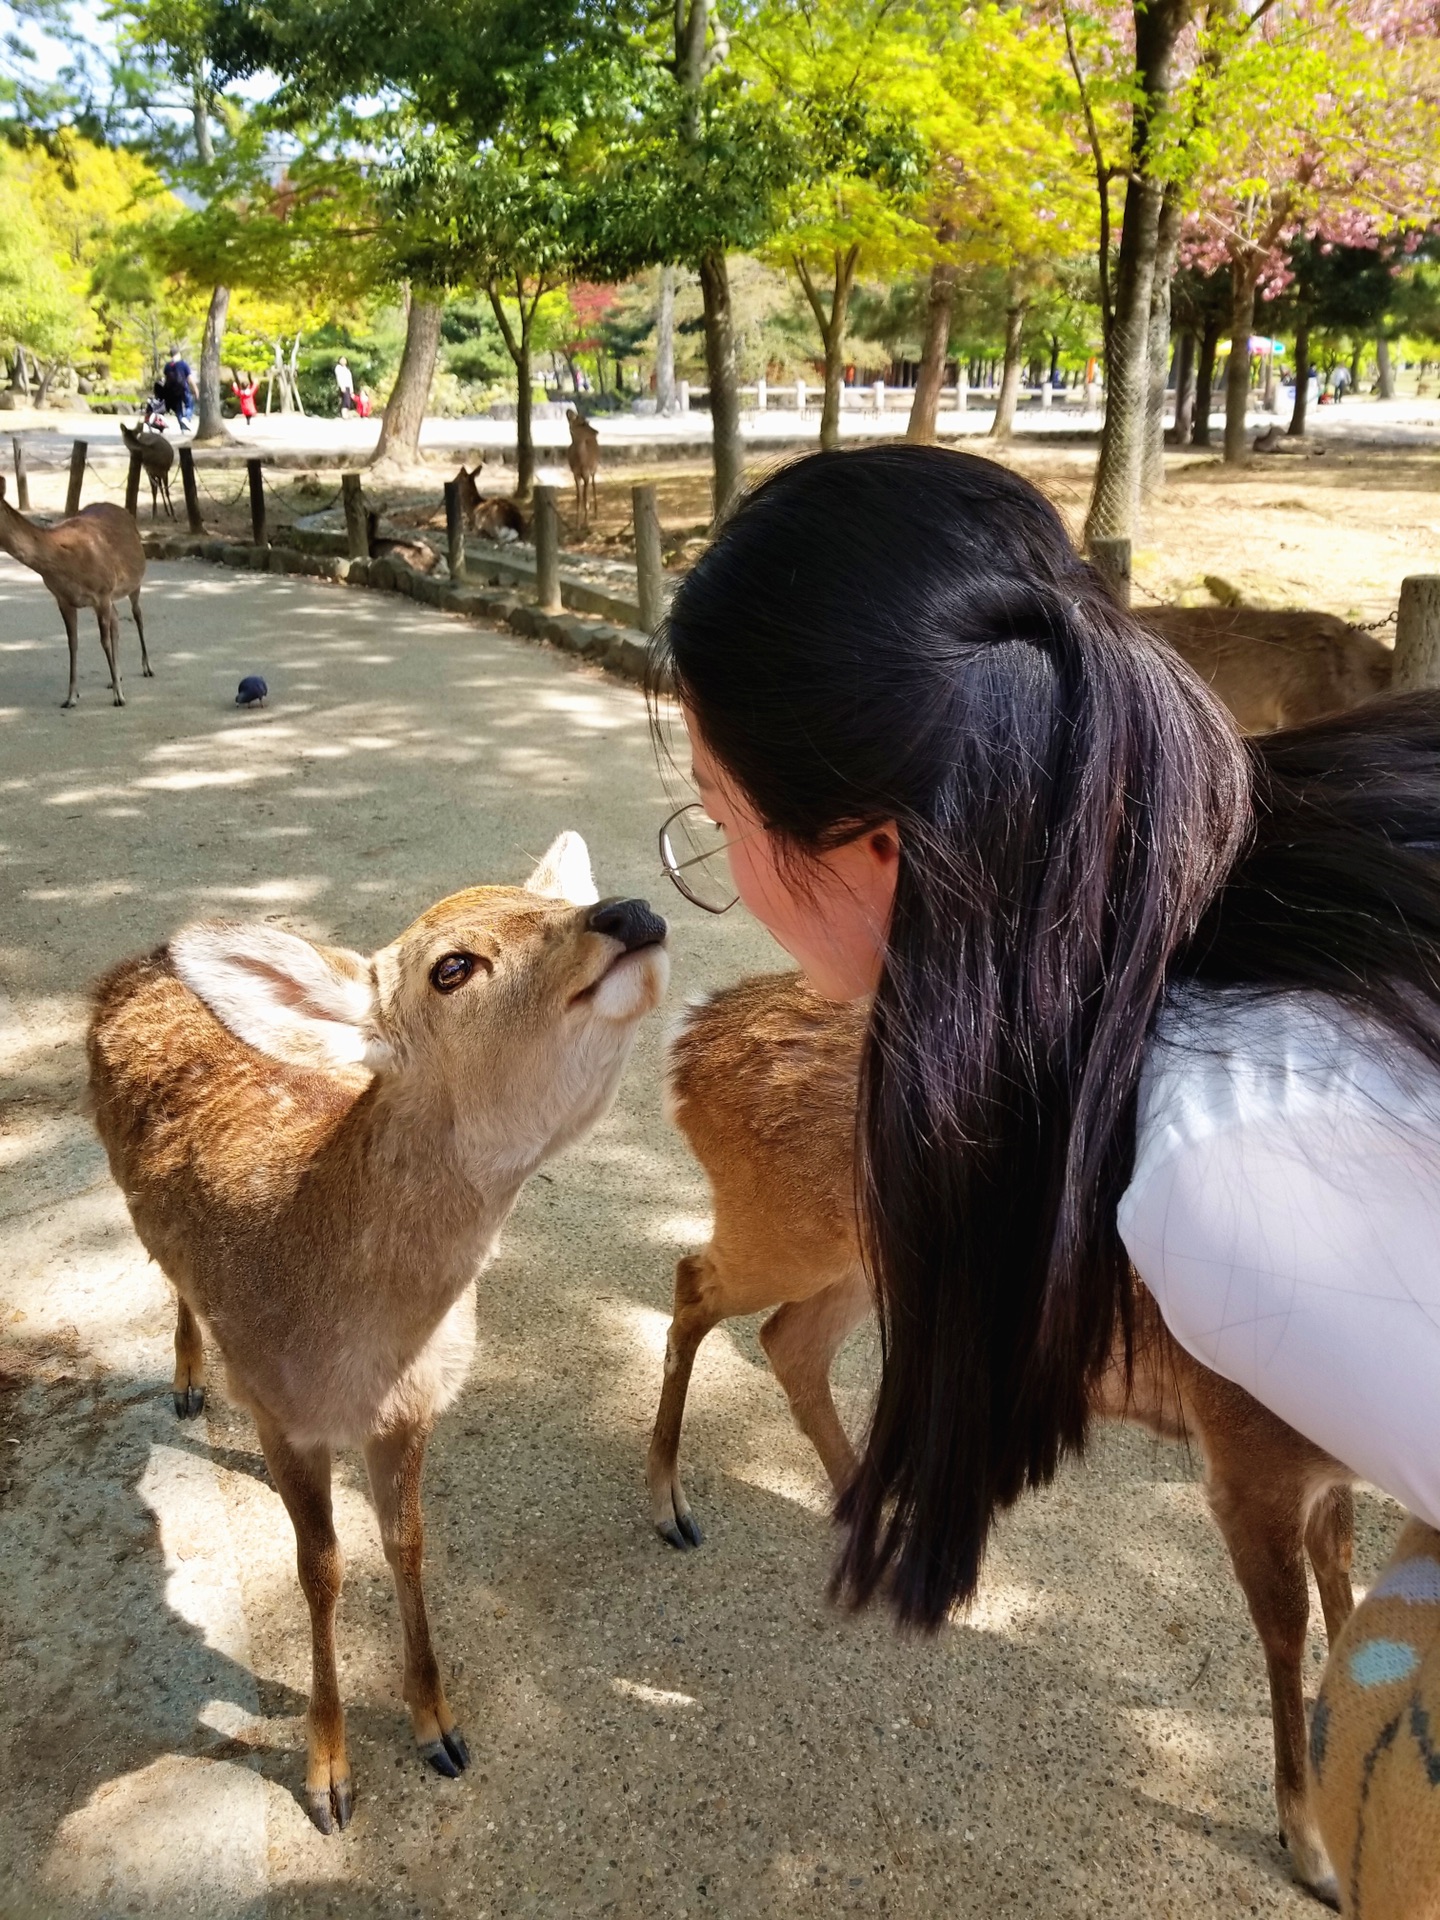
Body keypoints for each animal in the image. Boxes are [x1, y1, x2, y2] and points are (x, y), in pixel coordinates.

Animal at [0, 483, 152, 710]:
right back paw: (116, 676)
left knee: (137, 615)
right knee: (117, 619)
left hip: (134, 582)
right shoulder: (63, 599)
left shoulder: (102, 592)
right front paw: (71, 696)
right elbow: (73, 643)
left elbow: (104, 641)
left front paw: (119, 697)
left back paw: (146, 668)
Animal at [88, 833, 672, 1835]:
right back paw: (188, 1381)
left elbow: (407, 1544)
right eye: (453, 966)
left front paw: (439, 1727)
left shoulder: (413, 1409)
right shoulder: (281, 1410)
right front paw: (329, 1778)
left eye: (543, 903)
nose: (631, 911)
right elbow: (318, 1568)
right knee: (169, 1277)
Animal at [660, 975, 1359, 1904]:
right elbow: (1289, 1625)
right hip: (781, 1224)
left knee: (786, 1340)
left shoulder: (1324, 1472)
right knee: (694, 1285)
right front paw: (1313, 1852)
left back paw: (870, 1522)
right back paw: (669, 1503)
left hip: (863, 1258)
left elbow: (1342, 1590)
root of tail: (689, 1041)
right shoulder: (1248, 1451)